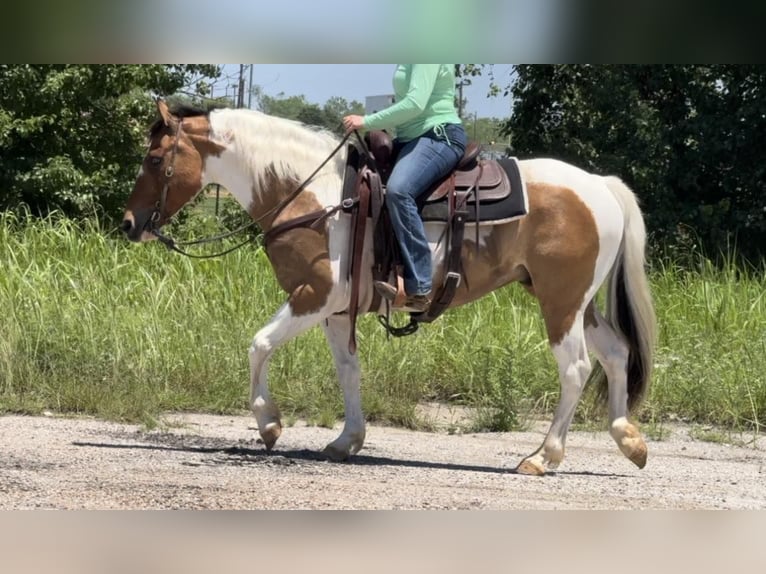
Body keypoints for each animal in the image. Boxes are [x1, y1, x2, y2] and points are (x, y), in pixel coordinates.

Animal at [121, 100, 660, 476]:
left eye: (154, 159)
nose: (129, 224)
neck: (313, 194)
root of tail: (600, 185)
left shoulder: (315, 295)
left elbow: (258, 344)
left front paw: (269, 423)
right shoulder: (337, 309)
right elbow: (348, 370)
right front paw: (347, 440)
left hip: (560, 302)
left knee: (576, 368)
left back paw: (543, 457)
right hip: (576, 301)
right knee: (615, 353)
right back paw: (628, 440)